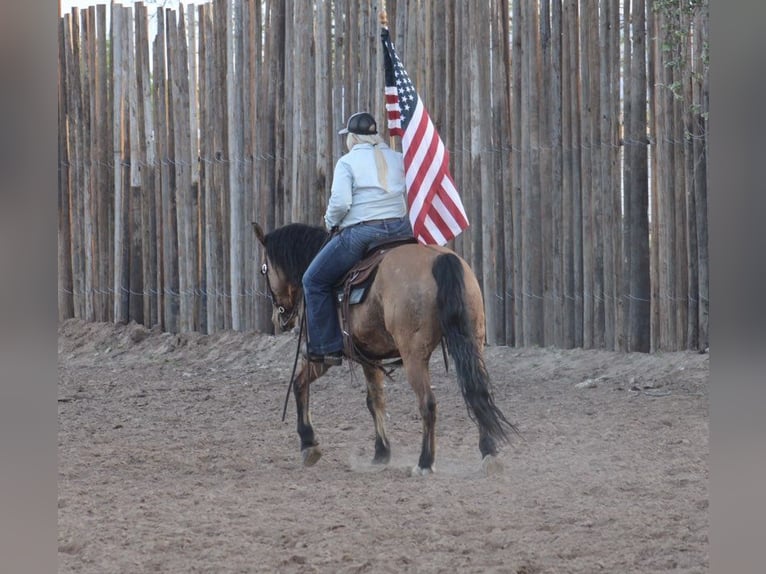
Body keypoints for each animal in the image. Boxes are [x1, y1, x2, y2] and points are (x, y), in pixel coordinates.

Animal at [255, 220, 520, 476]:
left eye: (263, 269)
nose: (278, 318)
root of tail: (440, 259)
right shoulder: (370, 356)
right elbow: (376, 400)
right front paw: (381, 453)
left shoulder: (322, 355)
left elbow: (300, 384)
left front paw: (309, 444)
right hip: (473, 343)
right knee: (478, 392)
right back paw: (489, 454)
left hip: (414, 357)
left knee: (428, 403)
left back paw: (425, 463)